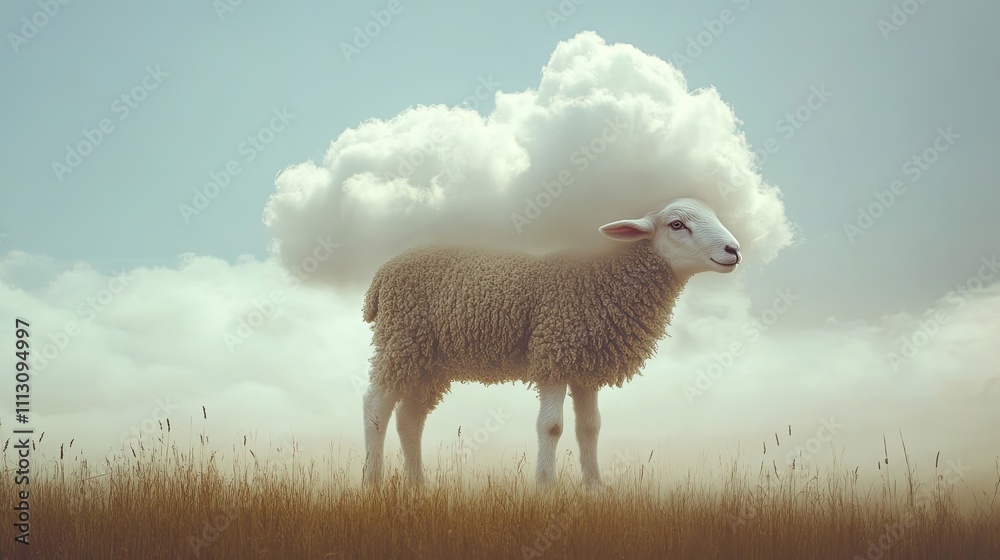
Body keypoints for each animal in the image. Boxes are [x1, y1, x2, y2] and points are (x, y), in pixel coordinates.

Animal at [361, 197, 741, 487]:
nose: (734, 250)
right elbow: (552, 426)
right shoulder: (553, 353)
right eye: (677, 224)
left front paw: (595, 488)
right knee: (376, 407)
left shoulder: (585, 365)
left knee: (409, 418)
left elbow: (590, 428)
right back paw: (373, 484)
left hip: (429, 361)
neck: (601, 280)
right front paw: (546, 486)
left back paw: (418, 487)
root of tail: (381, 276)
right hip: (400, 341)